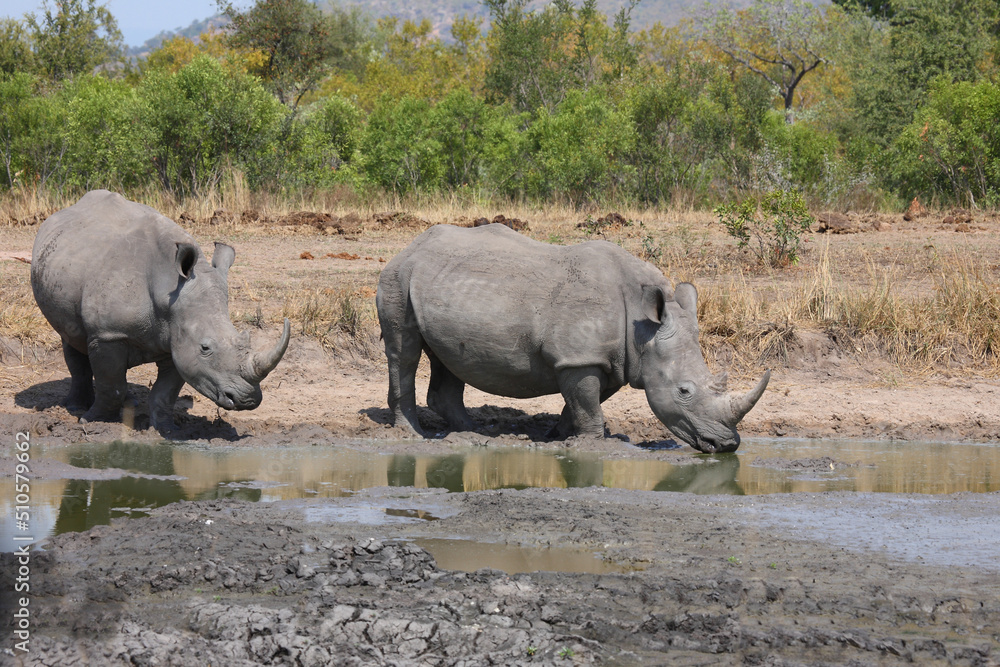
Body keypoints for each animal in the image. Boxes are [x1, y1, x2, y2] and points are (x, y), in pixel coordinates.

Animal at [31, 190, 290, 432]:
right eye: (205, 348)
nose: (247, 400)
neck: (168, 291)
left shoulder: (178, 339)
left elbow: (165, 393)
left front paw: (167, 430)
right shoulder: (108, 334)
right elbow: (111, 385)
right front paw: (92, 421)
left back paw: (130, 403)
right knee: (71, 339)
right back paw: (77, 408)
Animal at [376, 223, 769, 453]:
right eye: (684, 391)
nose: (726, 444)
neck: (643, 326)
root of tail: (408, 247)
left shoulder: (611, 360)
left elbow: (582, 402)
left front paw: (560, 435)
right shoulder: (579, 358)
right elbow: (587, 402)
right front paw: (593, 443)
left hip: (438, 282)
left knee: (448, 358)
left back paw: (473, 434)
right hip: (397, 278)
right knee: (403, 352)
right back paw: (414, 435)